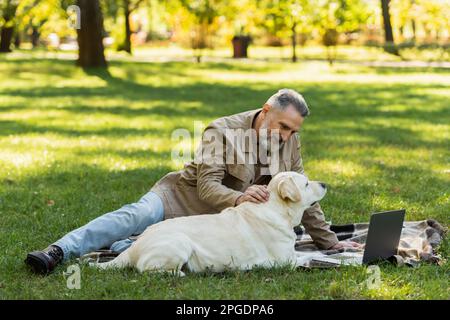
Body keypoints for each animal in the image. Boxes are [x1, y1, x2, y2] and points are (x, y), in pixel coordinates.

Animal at [95, 172, 326, 276]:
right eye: (306, 183)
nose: (324, 183)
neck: (277, 209)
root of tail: (134, 246)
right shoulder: (284, 260)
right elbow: (306, 257)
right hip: (179, 243)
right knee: (146, 270)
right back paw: (178, 273)